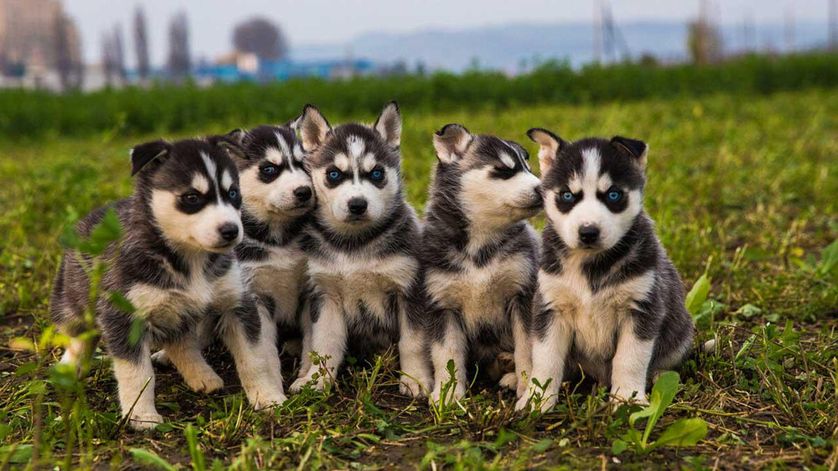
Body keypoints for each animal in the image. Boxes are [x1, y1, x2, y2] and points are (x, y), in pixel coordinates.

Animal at [53, 138, 288, 430]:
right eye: (192, 198)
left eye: (233, 193)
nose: (232, 231)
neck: (191, 260)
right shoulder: (123, 317)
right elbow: (138, 373)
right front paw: (142, 416)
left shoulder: (237, 303)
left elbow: (254, 358)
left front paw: (267, 397)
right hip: (74, 303)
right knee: (78, 337)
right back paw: (67, 367)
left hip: (178, 311)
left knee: (181, 342)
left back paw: (203, 376)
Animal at [290, 102, 434, 394]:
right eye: (334, 174)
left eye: (377, 173)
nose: (357, 204)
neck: (355, 245)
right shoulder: (326, 295)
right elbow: (325, 342)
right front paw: (317, 381)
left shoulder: (410, 289)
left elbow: (412, 341)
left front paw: (415, 379)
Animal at [420, 124, 544, 402]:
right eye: (504, 170)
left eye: (528, 167)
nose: (544, 189)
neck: (481, 244)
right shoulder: (442, 303)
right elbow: (447, 354)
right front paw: (447, 394)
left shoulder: (523, 292)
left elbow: (526, 347)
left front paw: (526, 385)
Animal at [520, 130, 696, 412]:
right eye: (567, 196)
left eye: (613, 195)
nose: (588, 232)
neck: (591, 265)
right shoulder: (551, 307)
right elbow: (546, 359)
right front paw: (537, 400)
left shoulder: (641, 308)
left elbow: (629, 359)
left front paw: (627, 400)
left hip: (681, 331)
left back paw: (658, 376)